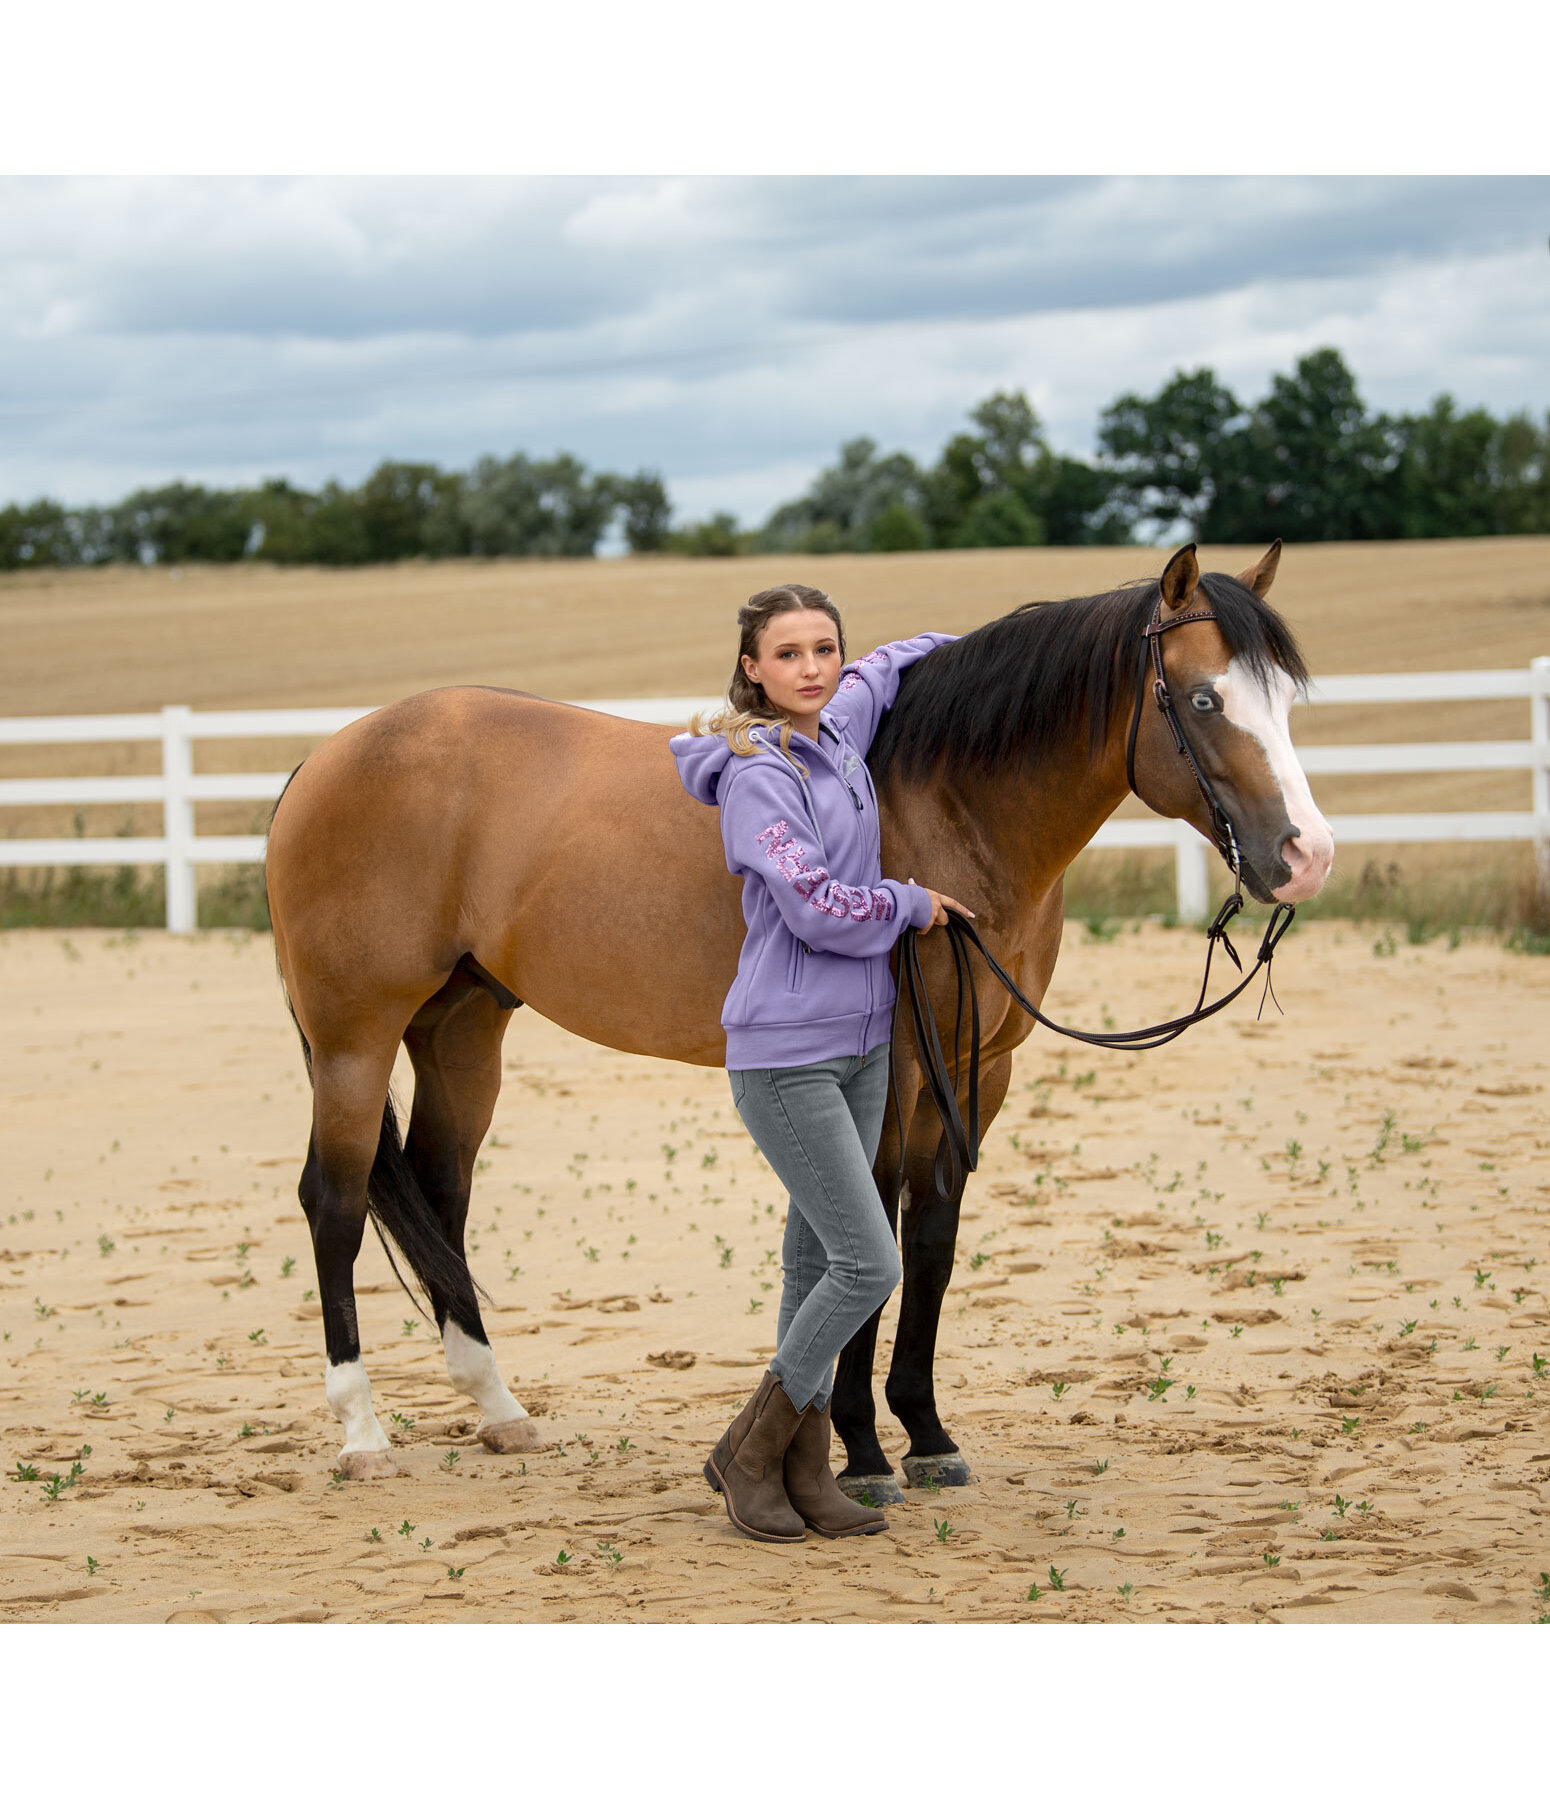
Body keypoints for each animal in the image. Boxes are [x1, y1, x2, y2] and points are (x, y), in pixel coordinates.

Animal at [266, 536, 1332, 1490]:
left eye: (1285, 699)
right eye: (1203, 699)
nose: (1306, 855)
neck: (948, 802)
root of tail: (324, 758)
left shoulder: (980, 1069)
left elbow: (930, 1240)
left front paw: (927, 1433)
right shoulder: (897, 1067)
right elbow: (874, 1220)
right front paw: (860, 1447)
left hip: (461, 1031)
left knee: (442, 1195)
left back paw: (498, 1410)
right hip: (355, 1041)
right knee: (337, 1202)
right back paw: (362, 1434)